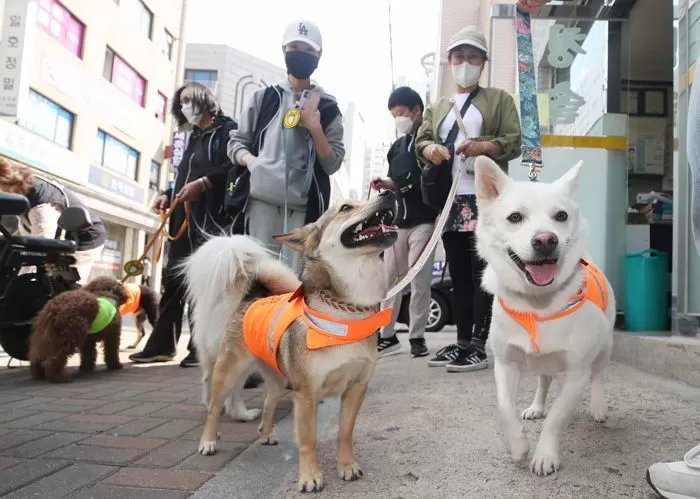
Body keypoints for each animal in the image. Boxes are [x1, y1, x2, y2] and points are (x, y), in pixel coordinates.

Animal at [476, 156, 612, 476]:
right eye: (515, 217)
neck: (538, 305)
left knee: (597, 375)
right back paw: (537, 406)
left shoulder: (576, 375)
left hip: (604, 347)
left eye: (561, 216)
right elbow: (504, 407)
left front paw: (545, 455)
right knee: (543, 381)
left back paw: (598, 406)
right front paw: (519, 446)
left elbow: (556, 419)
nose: (546, 240)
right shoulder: (506, 364)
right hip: (541, 364)